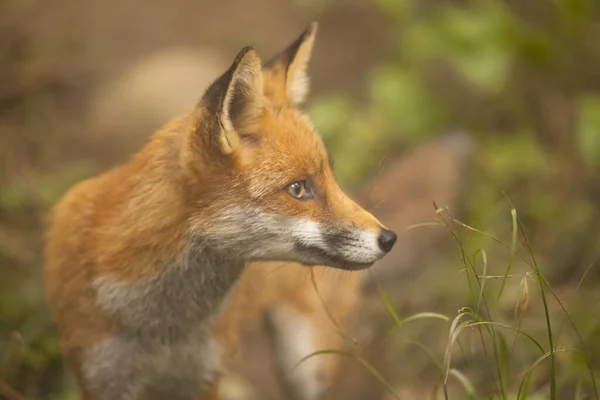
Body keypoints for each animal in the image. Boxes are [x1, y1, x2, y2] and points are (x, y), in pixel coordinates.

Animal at [44, 24, 396, 400]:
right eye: (298, 188)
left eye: (330, 177)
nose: (389, 238)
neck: (162, 330)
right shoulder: (100, 376)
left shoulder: (204, 378)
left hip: (304, 363)